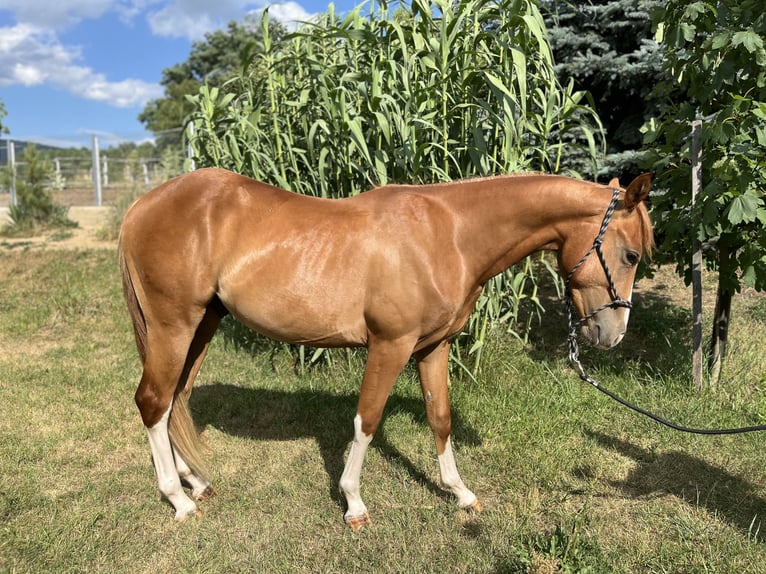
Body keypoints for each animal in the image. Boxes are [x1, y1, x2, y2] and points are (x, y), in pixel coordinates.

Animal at [118, 168, 652, 529]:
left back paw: (195, 482)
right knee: (153, 402)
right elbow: (367, 420)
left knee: (176, 400)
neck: (449, 234)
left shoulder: (433, 348)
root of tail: (141, 206)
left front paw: (460, 493)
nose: (612, 335)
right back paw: (178, 499)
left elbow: (440, 417)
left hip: (203, 323)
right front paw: (353, 503)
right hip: (173, 325)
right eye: (630, 255)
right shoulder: (390, 346)